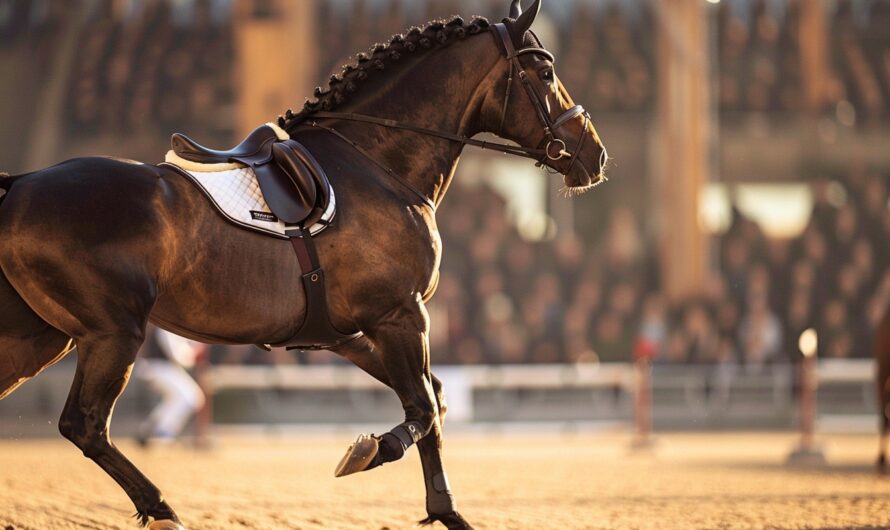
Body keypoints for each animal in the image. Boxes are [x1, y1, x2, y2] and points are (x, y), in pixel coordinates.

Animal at [0, 1, 607, 528]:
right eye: (545, 70)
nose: (594, 155)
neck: (376, 163)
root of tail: (23, 184)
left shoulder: (349, 333)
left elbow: (432, 399)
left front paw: (424, 492)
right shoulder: (401, 316)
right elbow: (424, 410)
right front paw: (391, 467)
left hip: (42, 337)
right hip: (111, 333)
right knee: (86, 425)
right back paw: (164, 510)